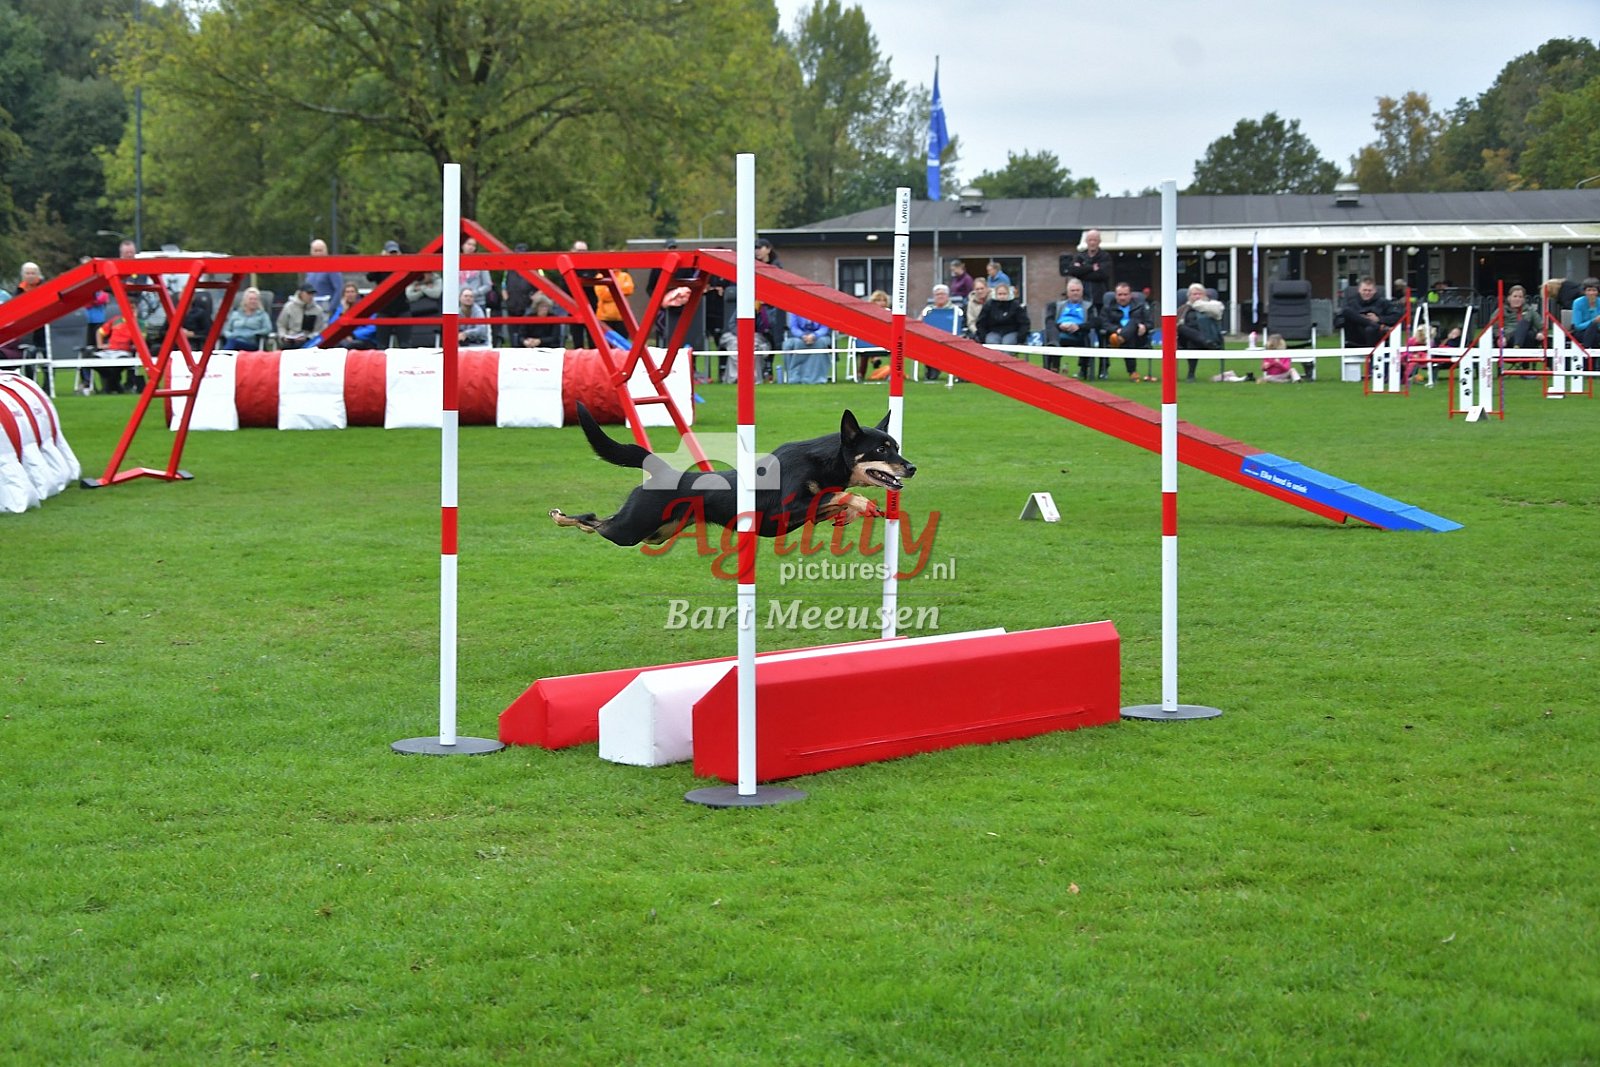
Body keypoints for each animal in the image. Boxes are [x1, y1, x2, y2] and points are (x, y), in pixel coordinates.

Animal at [550, 403, 915, 546]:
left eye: (896, 445)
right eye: (881, 449)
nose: (911, 467)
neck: (824, 462)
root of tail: (662, 467)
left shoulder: (803, 513)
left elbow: (834, 500)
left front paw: (852, 512)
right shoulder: (784, 510)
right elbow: (839, 493)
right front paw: (861, 504)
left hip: (658, 532)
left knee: (598, 522)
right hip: (630, 529)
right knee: (594, 521)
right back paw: (560, 516)